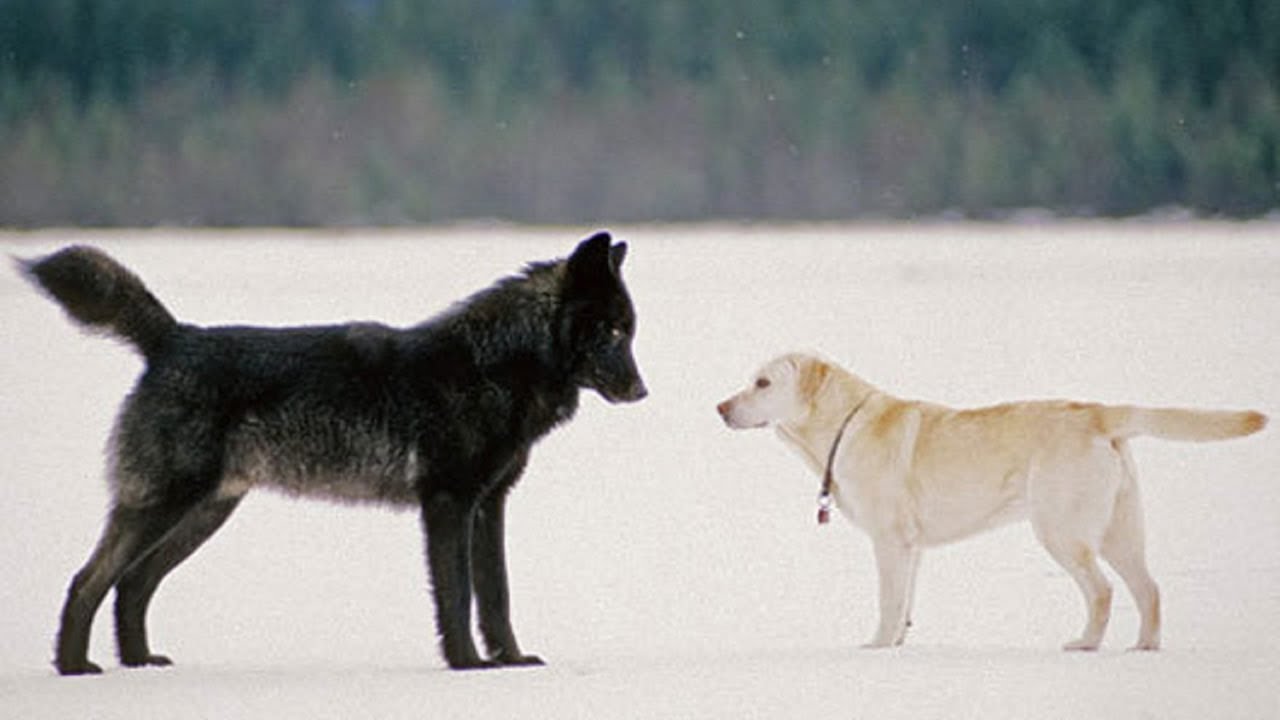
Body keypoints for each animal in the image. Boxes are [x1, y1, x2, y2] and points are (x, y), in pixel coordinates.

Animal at [27, 230, 650, 671]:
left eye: (630, 330)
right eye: (613, 332)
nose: (642, 390)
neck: (491, 366)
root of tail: (173, 337)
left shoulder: (489, 505)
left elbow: (496, 595)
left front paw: (511, 660)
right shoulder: (448, 504)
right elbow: (458, 594)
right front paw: (467, 665)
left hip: (206, 513)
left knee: (131, 584)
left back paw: (138, 664)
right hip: (167, 505)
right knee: (88, 580)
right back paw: (75, 668)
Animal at [716, 353, 1264, 650]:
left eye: (763, 382)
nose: (720, 407)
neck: (842, 425)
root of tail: (1097, 413)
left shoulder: (889, 540)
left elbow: (888, 600)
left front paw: (875, 645)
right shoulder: (912, 547)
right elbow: (905, 601)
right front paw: (896, 643)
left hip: (1061, 531)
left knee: (1103, 591)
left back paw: (1085, 642)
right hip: (1120, 530)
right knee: (1149, 589)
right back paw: (1144, 646)